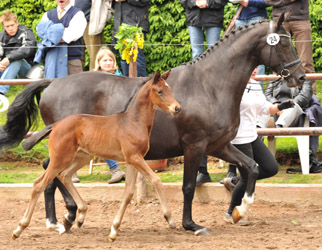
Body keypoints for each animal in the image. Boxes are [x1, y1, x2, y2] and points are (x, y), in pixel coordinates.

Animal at [11, 70, 180, 240]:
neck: (133, 122)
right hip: (60, 158)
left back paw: (80, 216)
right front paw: (170, 219)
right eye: (160, 91)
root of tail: (57, 125)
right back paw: (19, 228)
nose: (177, 108)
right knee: (39, 184)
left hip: (82, 157)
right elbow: (156, 180)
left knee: (65, 175)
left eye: (170, 89)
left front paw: (114, 229)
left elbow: (129, 193)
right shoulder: (135, 158)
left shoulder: (133, 160)